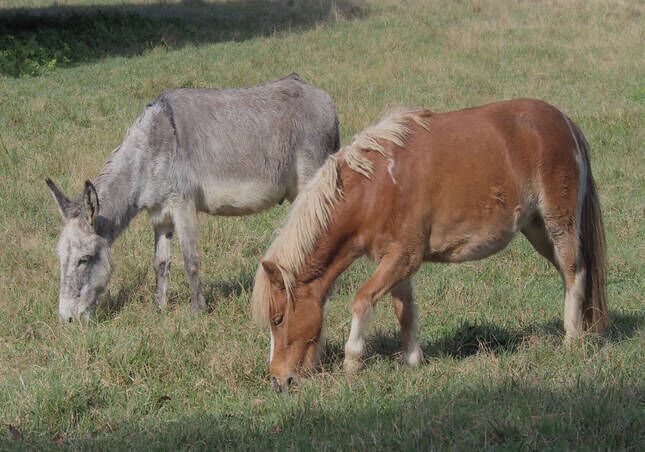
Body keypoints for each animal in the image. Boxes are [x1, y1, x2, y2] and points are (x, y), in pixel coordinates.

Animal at [252, 100, 604, 392]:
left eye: (278, 319)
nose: (279, 380)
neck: (375, 186)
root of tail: (564, 123)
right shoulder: (396, 262)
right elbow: (404, 311)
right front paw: (413, 360)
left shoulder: (403, 257)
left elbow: (362, 300)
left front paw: (352, 361)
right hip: (537, 229)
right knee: (569, 274)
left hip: (558, 222)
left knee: (575, 272)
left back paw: (571, 339)